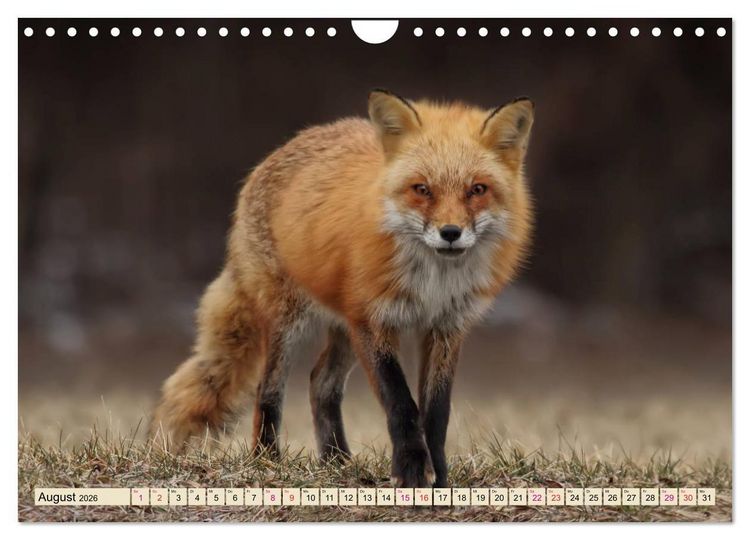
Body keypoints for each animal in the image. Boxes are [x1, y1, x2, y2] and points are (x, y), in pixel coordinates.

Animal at [152, 89, 534, 488]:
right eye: (422, 189)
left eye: (477, 190)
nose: (450, 233)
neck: (433, 282)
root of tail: (280, 150)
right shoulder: (373, 320)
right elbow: (401, 403)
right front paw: (411, 471)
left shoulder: (446, 328)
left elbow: (436, 413)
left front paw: (439, 478)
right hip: (290, 321)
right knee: (267, 389)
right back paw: (267, 460)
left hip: (345, 329)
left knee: (320, 383)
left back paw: (337, 461)